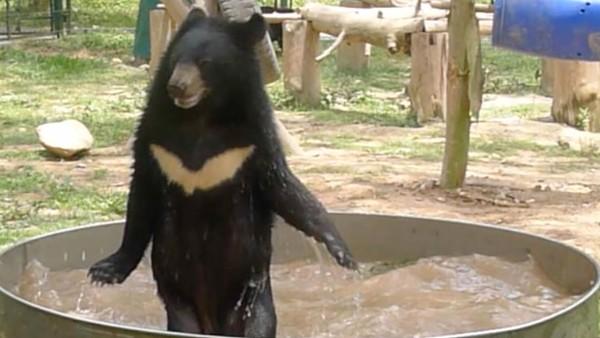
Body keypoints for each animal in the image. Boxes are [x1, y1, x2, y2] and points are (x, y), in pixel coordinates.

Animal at [88, 8, 356, 338]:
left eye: (205, 63)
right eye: (176, 59)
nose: (177, 86)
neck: (200, 117)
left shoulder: (253, 141)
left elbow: (286, 189)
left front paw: (344, 256)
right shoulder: (155, 142)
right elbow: (141, 201)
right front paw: (103, 271)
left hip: (250, 292)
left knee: (259, 323)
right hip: (178, 295)